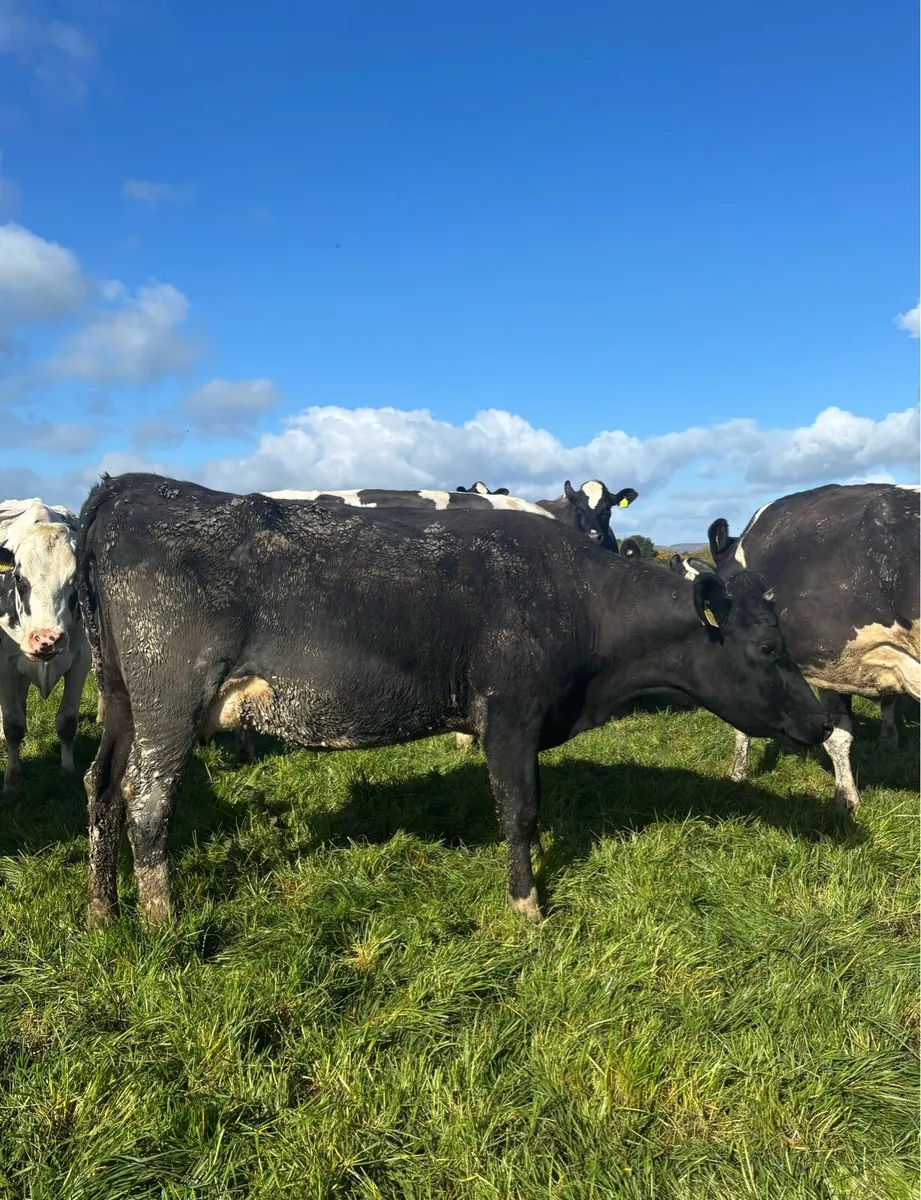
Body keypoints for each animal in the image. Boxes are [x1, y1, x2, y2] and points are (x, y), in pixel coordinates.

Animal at [0, 500, 92, 792]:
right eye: (19, 578)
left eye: (75, 579)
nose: (47, 639)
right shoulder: (5, 663)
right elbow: (13, 725)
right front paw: (12, 779)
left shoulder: (81, 660)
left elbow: (67, 722)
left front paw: (67, 770)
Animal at [78, 473, 830, 928]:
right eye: (769, 647)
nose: (822, 721)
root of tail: (131, 487)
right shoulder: (510, 715)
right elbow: (519, 810)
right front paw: (527, 907)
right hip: (170, 704)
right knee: (148, 802)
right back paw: (162, 922)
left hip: (121, 701)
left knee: (102, 787)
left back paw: (104, 913)